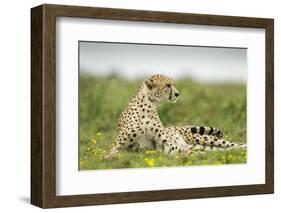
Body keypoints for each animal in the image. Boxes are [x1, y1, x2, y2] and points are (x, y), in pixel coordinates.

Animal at [106, 74, 245, 157]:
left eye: (174, 84)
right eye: (168, 85)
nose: (178, 94)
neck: (150, 105)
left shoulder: (166, 144)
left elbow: (180, 149)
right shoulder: (121, 145)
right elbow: (112, 152)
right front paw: (110, 158)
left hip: (204, 139)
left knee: (232, 144)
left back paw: (243, 147)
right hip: (202, 144)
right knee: (218, 150)